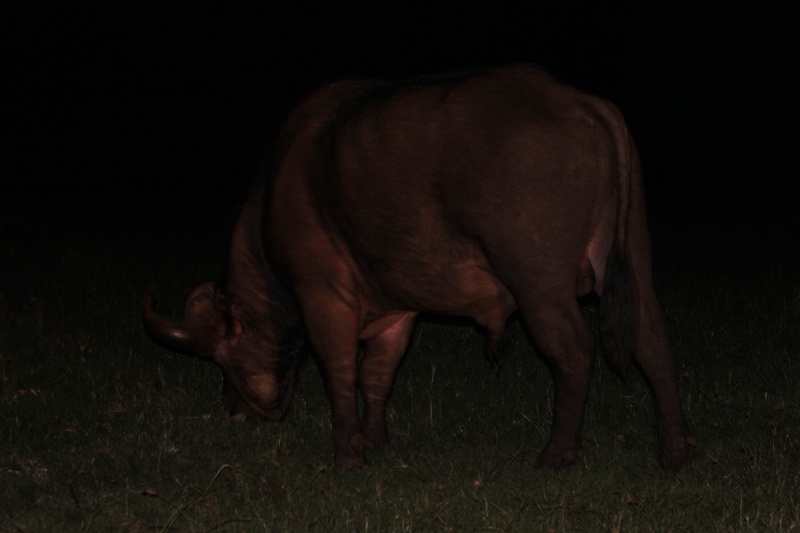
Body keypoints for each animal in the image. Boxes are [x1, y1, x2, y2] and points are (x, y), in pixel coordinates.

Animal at [144, 64, 692, 468]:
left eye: (222, 357)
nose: (232, 409)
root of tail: (576, 101)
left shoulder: (323, 295)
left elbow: (340, 370)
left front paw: (348, 455)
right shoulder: (398, 309)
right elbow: (377, 375)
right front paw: (375, 442)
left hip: (538, 280)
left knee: (575, 348)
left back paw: (557, 455)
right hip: (629, 254)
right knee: (652, 337)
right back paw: (674, 450)